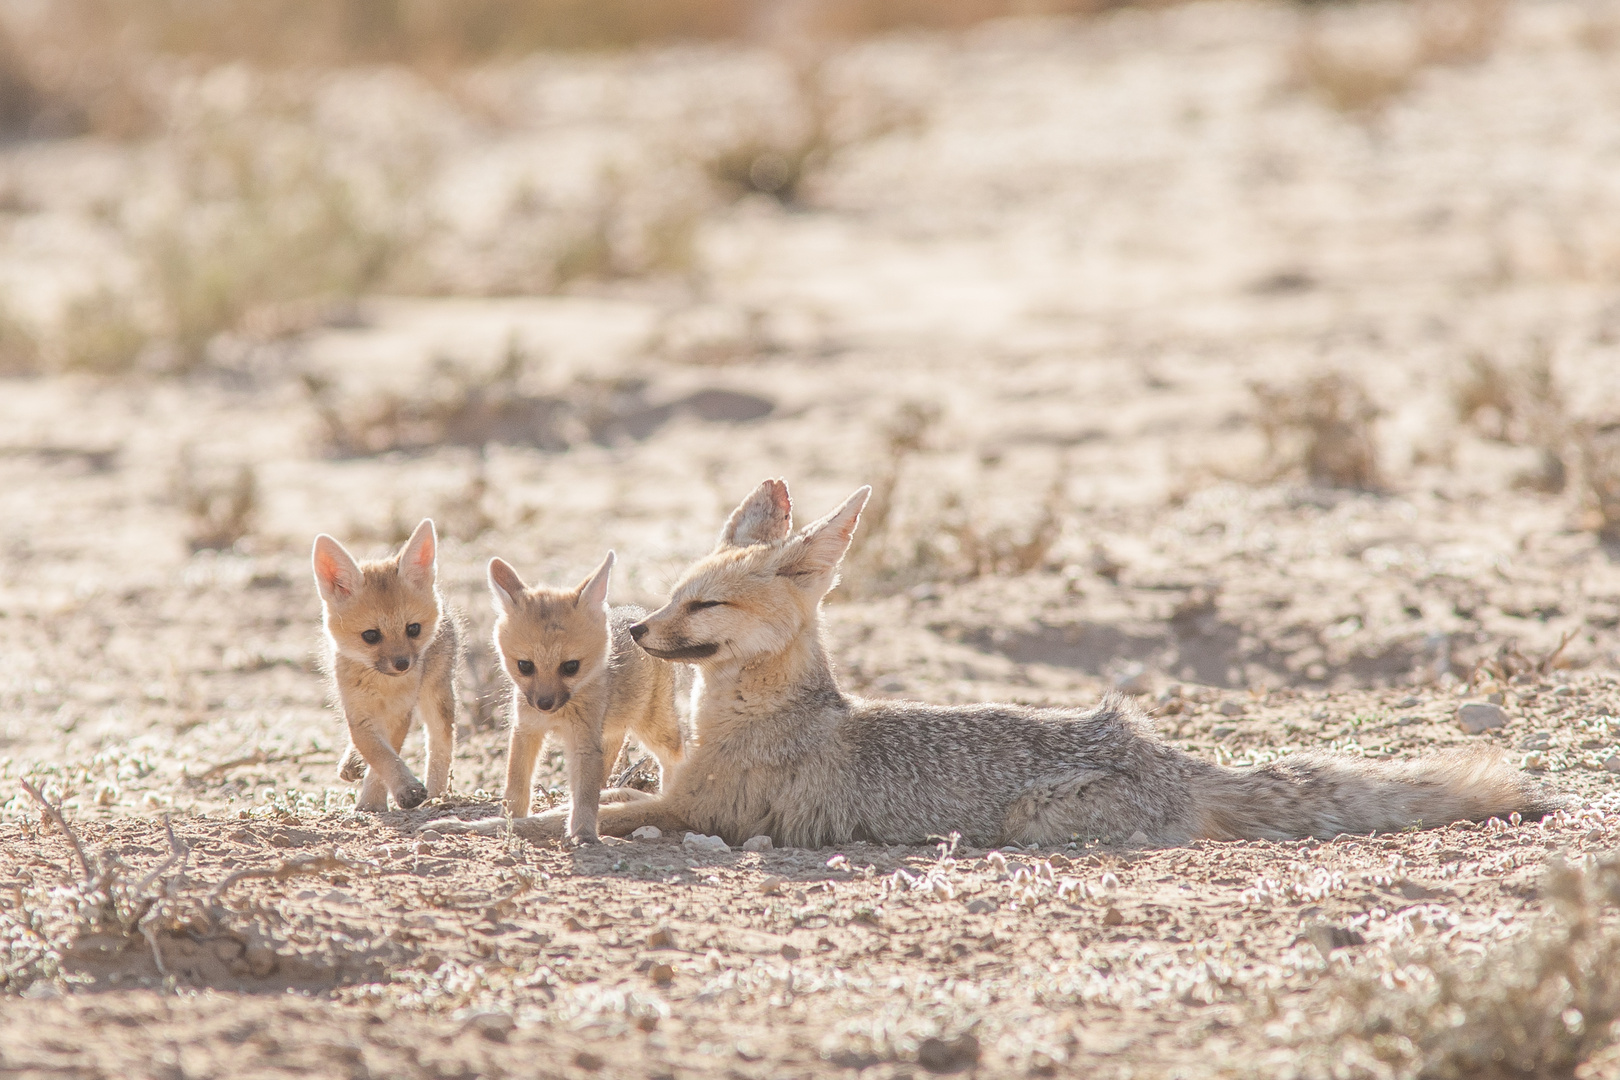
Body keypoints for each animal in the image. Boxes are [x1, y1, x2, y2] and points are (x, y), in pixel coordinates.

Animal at [427, 482, 1555, 854]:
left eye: (703, 608)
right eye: (668, 597)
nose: (640, 632)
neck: (746, 717)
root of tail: (1164, 751)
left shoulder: (700, 810)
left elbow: (571, 816)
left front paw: (480, 824)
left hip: (1036, 822)